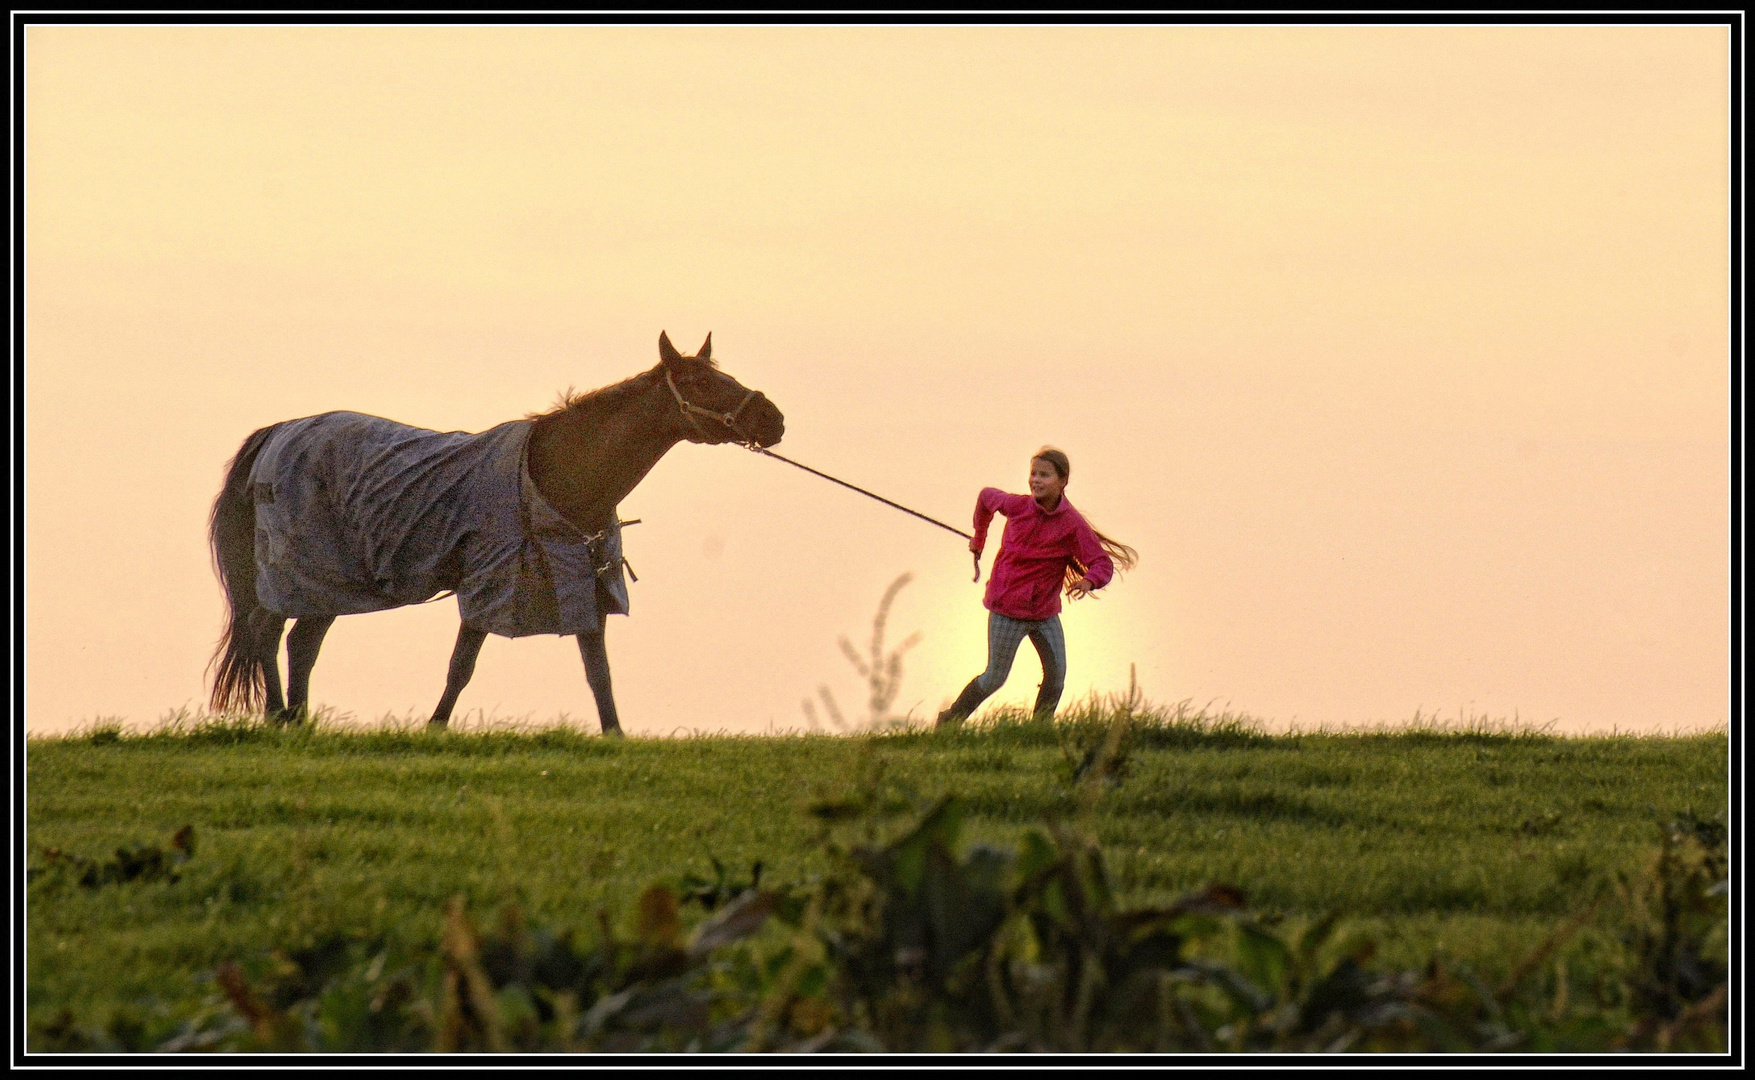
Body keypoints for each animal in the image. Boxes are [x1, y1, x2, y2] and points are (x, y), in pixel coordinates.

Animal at [201, 330, 786, 734]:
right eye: (700, 381)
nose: (772, 419)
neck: (555, 474)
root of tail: (278, 434)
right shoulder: (488, 583)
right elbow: (461, 667)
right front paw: (435, 730)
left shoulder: (584, 585)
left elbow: (598, 672)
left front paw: (615, 736)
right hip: (296, 571)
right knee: (265, 630)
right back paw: (277, 716)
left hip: (332, 581)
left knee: (302, 642)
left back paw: (300, 721)